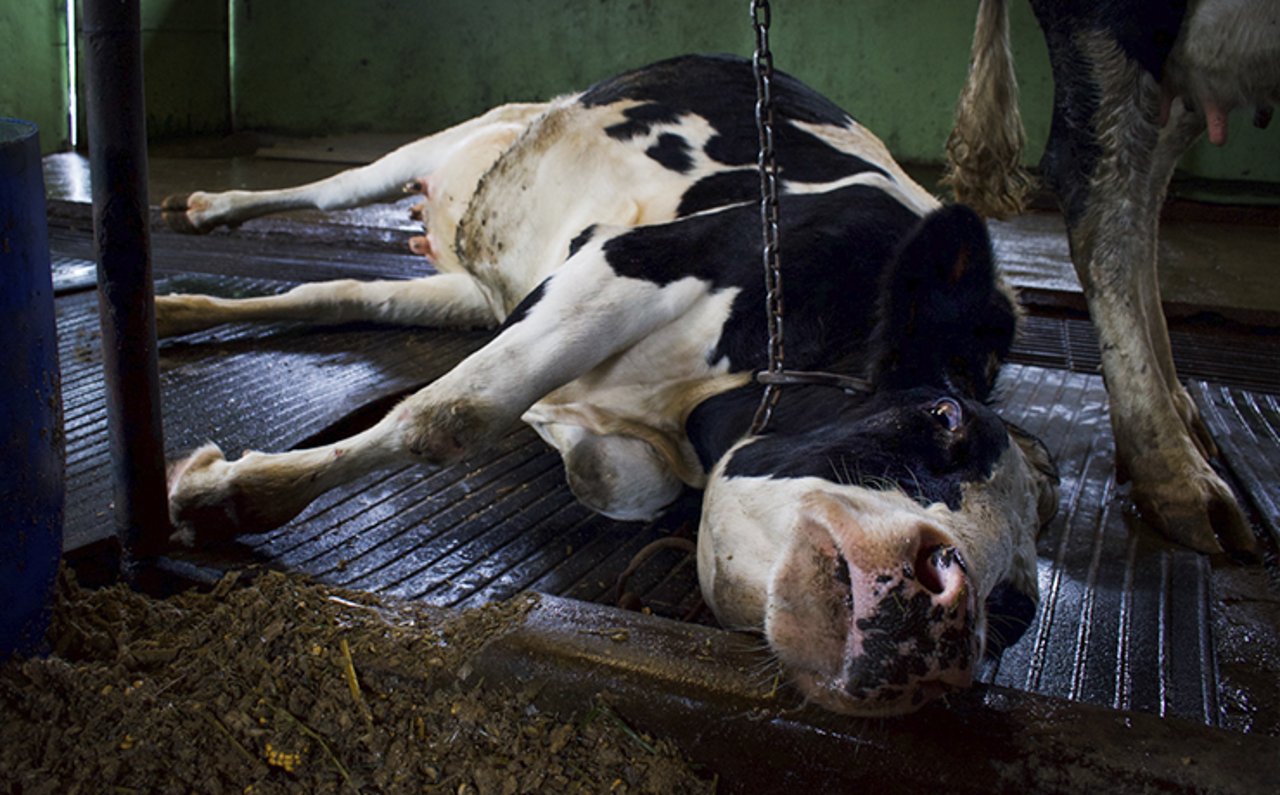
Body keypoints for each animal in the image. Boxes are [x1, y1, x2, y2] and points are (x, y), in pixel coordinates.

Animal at [160, 55, 1059, 711]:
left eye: (1016, 614)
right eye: (942, 416)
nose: (953, 611)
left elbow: (617, 473)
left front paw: (571, 429)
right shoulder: (634, 260)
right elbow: (454, 413)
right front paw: (232, 495)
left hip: (467, 287)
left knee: (345, 292)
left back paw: (175, 307)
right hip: (455, 139)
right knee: (333, 188)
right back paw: (210, 207)